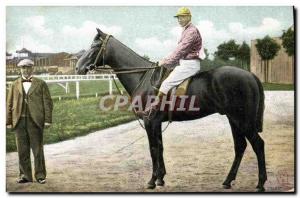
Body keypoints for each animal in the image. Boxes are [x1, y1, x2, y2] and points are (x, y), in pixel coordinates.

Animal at [75, 28, 268, 192]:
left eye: (95, 46)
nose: (78, 67)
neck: (143, 77)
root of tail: (250, 75)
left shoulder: (150, 121)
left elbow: (153, 148)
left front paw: (152, 181)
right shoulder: (156, 123)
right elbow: (160, 147)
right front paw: (161, 178)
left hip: (242, 121)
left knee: (258, 144)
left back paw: (260, 183)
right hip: (233, 119)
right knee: (240, 146)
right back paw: (228, 181)